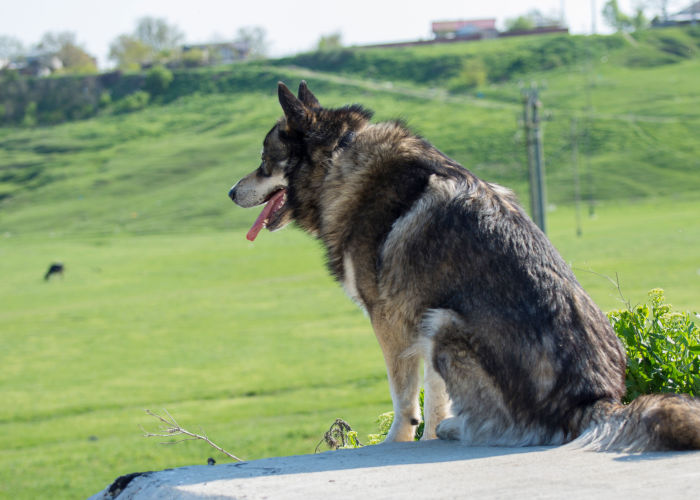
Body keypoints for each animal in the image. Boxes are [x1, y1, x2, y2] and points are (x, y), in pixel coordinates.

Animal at [230, 82, 700, 450]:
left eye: (264, 159)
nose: (231, 192)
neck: (339, 158)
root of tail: (596, 401)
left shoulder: (391, 320)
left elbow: (403, 398)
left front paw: (399, 439)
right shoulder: (418, 316)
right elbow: (434, 395)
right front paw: (430, 433)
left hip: (446, 324)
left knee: (508, 428)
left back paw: (461, 430)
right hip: (437, 324)